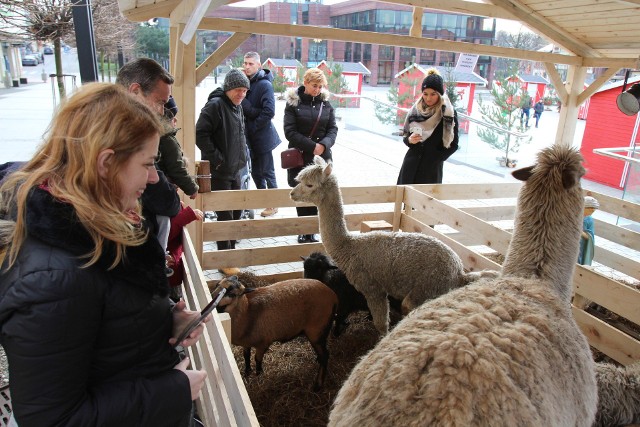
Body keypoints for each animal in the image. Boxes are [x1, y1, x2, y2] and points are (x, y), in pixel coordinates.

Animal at [290, 155, 500, 336]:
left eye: (309, 184)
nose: (292, 193)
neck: (349, 246)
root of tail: (459, 273)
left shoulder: (372, 288)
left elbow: (381, 324)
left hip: (425, 289)